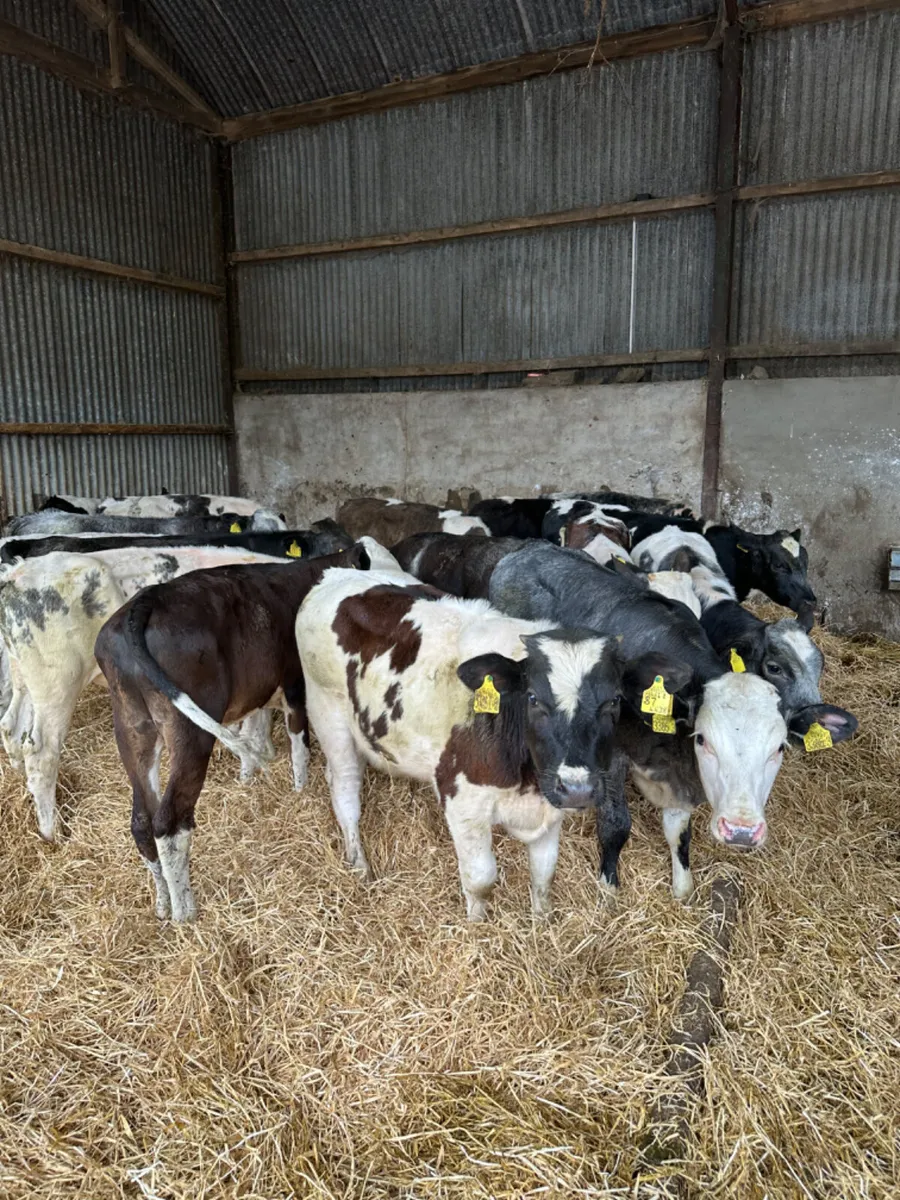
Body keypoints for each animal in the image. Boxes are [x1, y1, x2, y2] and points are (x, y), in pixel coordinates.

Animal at [0, 544, 309, 840]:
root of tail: (16, 574)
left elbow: (256, 722)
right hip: (57, 684)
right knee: (41, 753)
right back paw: (52, 832)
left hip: (23, 677)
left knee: (12, 729)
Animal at [94, 545, 370, 922]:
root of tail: (144, 604)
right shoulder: (295, 685)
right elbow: (299, 745)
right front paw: (300, 790)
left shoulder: (254, 694)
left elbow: (253, 732)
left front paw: (247, 777)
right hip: (190, 730)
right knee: (169, 820)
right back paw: (184, 913)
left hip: (132, 727)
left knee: (141, 821)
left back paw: (163, 904)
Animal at [296, 566, 687, 921]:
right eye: (533, 698)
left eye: (614, 701)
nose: (577, 788)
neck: (526, 778)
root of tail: (335, 575)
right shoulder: (463, 802)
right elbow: (481, 878)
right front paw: (477, 925)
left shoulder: (551, 804)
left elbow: (544, 874)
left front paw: (542, 923)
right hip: (327, 713)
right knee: (345, 790)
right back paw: (359, 864)